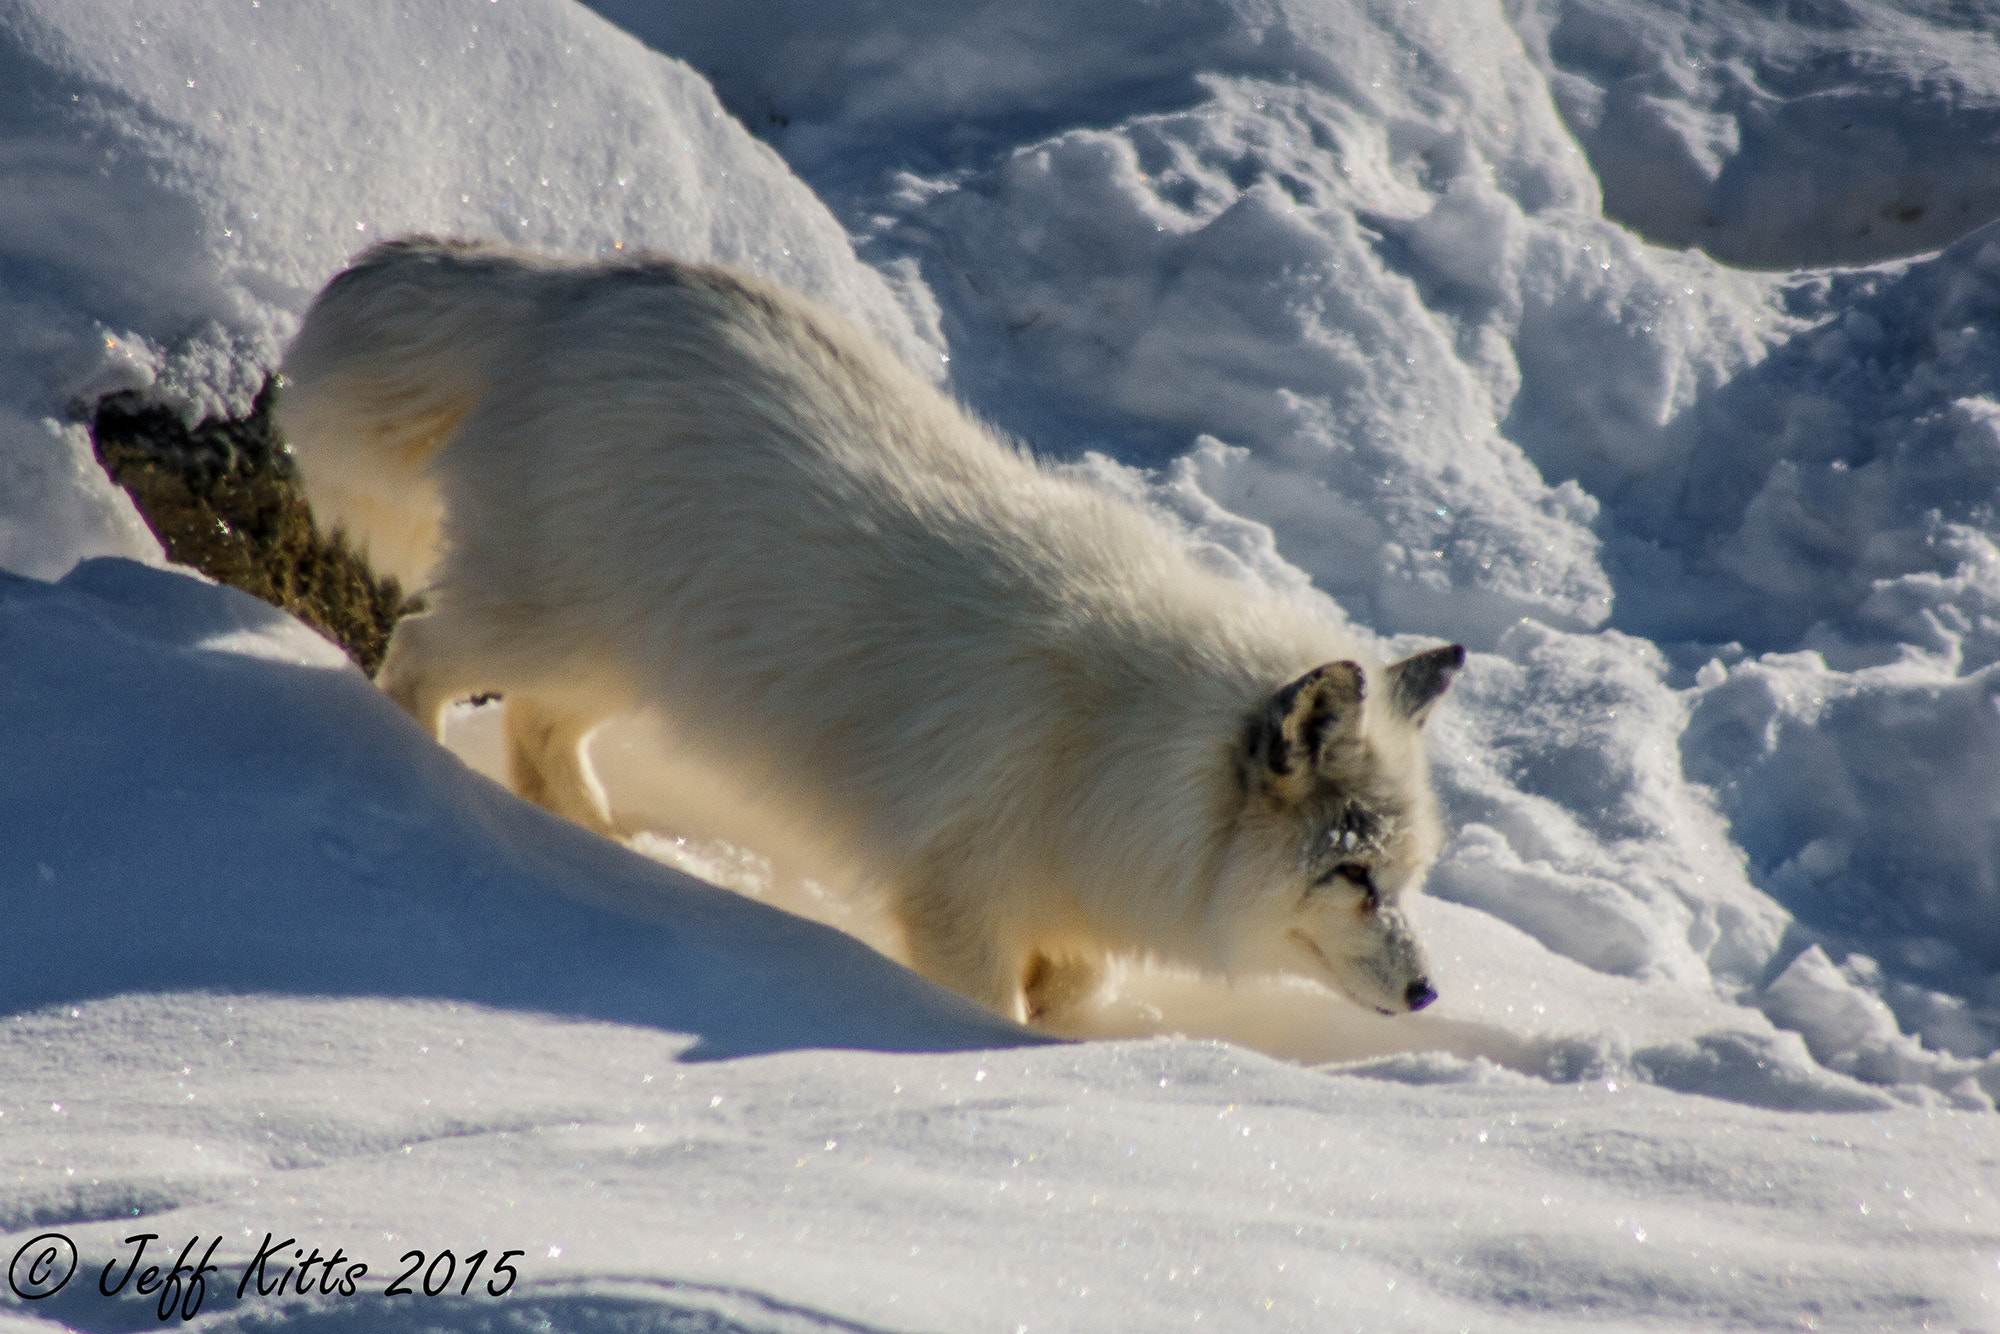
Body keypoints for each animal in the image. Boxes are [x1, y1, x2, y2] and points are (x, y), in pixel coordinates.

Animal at [275, 236, 1464, 1027]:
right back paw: (428, 795)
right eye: (1351, 876)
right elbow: (988, 1006)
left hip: (627, 661)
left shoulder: (1061, 898)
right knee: (420, 656)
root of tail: (573, 291)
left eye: (1403, 879)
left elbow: (1075, 978)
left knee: (536, 737)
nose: (1425, 990)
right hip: (549, 628)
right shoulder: (956, 897)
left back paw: (617, 856)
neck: (1121, 750)